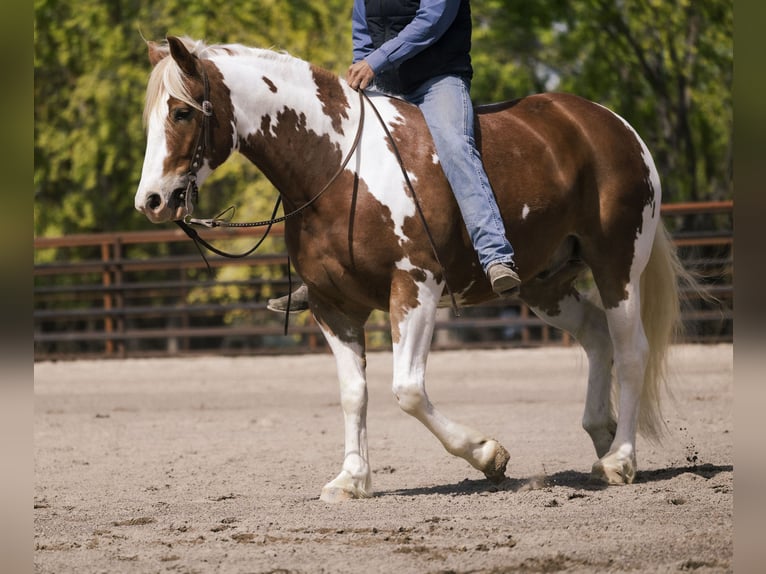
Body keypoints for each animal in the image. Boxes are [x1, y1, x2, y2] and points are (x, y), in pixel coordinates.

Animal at [135, 36, 687, 502]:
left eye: (181, 112)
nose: (152, 201)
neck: (338, 165)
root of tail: (613, 126)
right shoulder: (332, 306)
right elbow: (353, 393)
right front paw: (352, 479)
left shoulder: (415, 287)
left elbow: (407, 390)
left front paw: (488, 454)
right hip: (544, 285)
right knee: (595, 335)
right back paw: (601, 435)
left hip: (618, 263)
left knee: (631, 352)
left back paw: (620, 460)